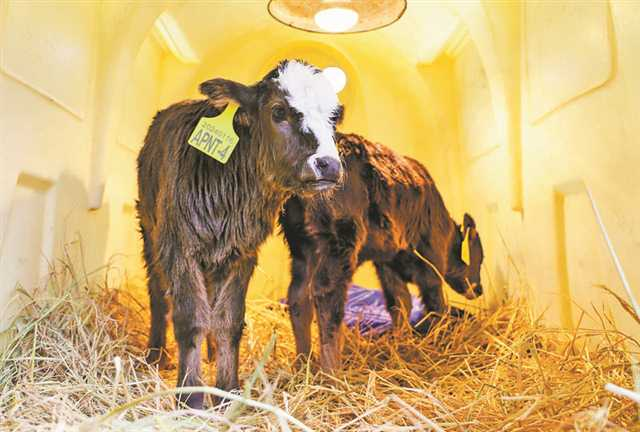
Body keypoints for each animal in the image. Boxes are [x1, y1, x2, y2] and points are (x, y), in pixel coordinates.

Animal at [136, 60, 344, 408]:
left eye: (335, 116)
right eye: (278, 111)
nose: (328, 164)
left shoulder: (242, 253)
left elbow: (228, 321)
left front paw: (227, 391)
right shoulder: (180, 247)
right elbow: (191, 319)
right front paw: (191, 397)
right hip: (150, 231)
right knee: (157, 291)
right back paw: (156, 354)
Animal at [280, 132, 484, 371]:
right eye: (478, 261)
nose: (479, 289)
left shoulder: (386, 260)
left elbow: (399, 301)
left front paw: (400, 340)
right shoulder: (430, 260)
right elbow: (435, 301)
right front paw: (439, 338)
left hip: (301, 245)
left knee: (298, 296)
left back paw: (302, 364)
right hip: (339, 242)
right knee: (326, 295)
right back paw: (332, 372)